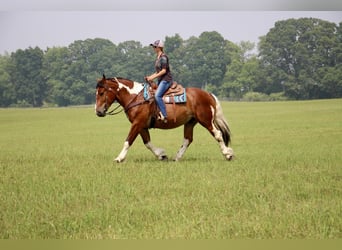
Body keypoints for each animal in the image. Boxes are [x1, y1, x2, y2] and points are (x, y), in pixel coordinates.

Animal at [95, 74, 234, 163]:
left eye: (101, 93)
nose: (98, 111)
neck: (136, 97)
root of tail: (208, 94)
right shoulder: (142, 126)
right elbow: (147, 143)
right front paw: (161, 155)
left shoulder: (137, 124)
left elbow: (128, 141)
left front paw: (119, 158)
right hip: (190, 122)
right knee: (187, 139)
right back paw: (177, 157)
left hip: (206, 120)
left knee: (218, 134)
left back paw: (228, 154)